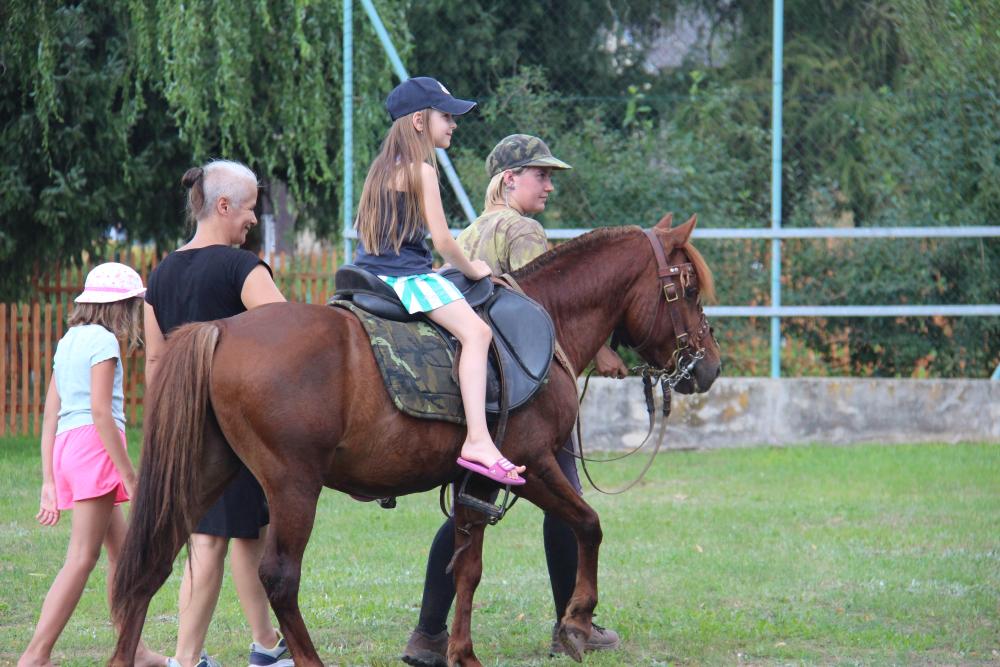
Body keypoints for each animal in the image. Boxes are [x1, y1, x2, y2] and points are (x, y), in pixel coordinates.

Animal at [109, 213, 721, 667]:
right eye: (687, 289)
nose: (710, 367)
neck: (548, 317)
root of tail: (220, 329)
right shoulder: (531, 464)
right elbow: (588, 525)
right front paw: (576, 621)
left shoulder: (474, 480)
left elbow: (466, 565)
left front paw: (461, 652)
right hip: (292, 485)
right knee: (278, 577)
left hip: (205, 472)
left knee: (151, 563)